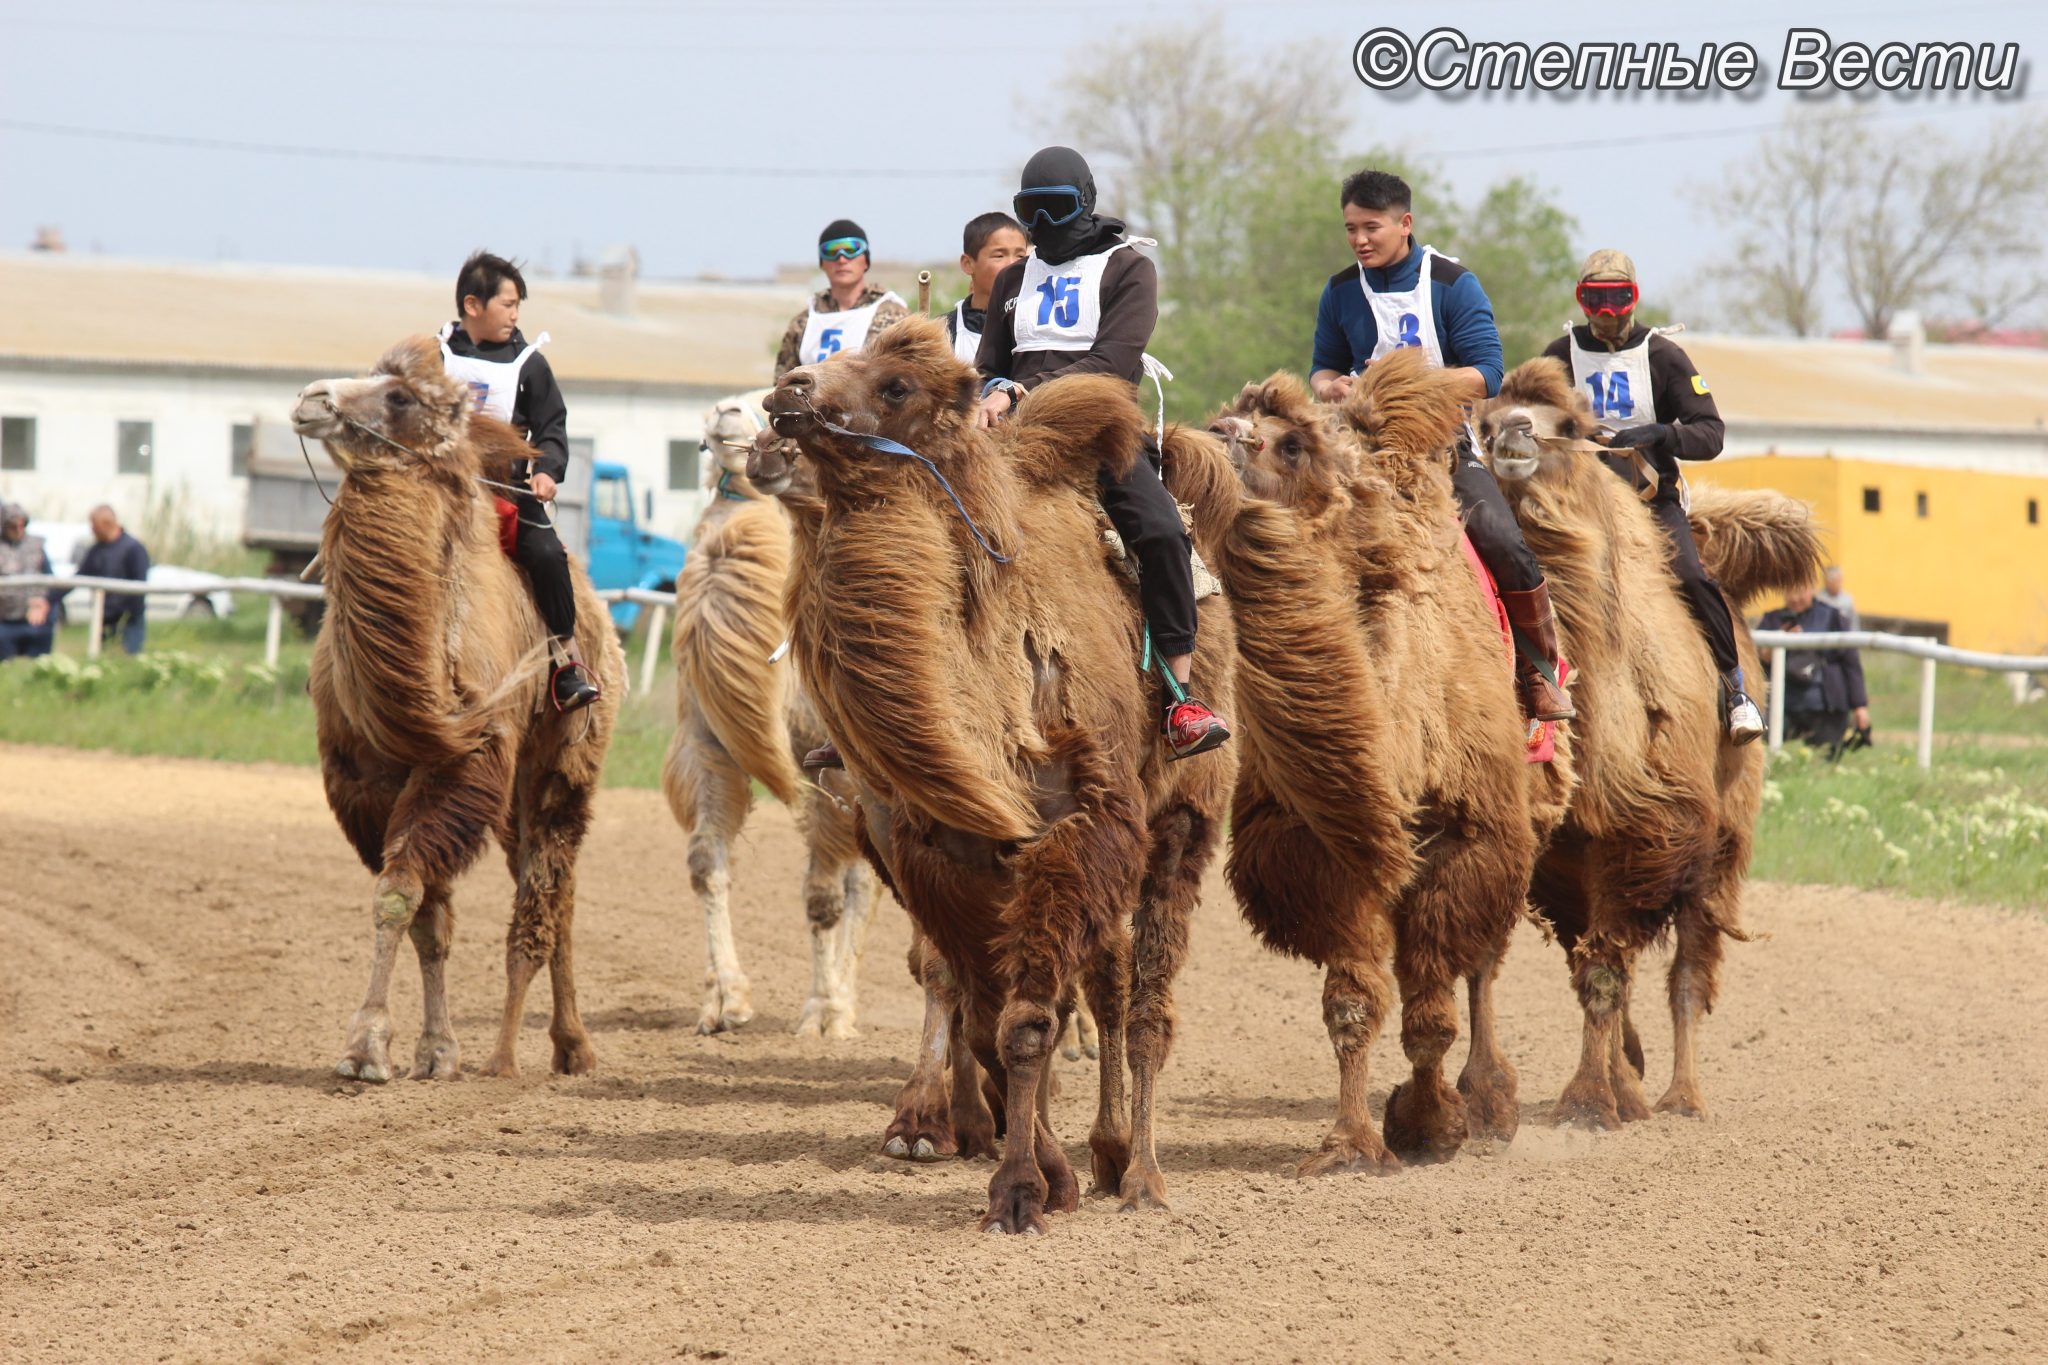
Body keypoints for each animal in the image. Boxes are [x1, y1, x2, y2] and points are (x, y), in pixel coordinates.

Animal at [290, 335, 622, 1080]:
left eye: (399, 396)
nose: (310, 398)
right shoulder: (364, 781)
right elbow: (423, 914)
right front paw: (432, 1049)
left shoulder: (465, 762)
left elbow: (400, 891)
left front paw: (367, 1048)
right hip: (512, 798)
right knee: (544, 883)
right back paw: (561, 1045)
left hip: (563, 757)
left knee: (552, 886)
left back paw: (551, 1050)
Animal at [659, 388, 876, 1039]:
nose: (727, 413)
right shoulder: (707, 750)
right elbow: (706, 864)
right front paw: (724, 1001)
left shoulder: (840, 773)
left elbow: (827, 894)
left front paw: (826, 1012)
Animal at [1163, 349, 1572, 1178]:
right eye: (1227, 415)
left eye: (1291, 443)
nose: (1214, 435)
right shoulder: (1329, 846)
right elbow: (1353, 1001)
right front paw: (1352, 1142)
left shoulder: (1468, 838)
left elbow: (1432, 1005)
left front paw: (1431, 1123)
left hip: (1526, 816)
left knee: (1482, 963)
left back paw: (1491, 1101)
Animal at [1474, 358, 1826, 1129]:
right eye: (1481, 419)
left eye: (1569, 424)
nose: (1511, 432)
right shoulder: (1547, 845)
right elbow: (1548, 963)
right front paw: (1509, 1094)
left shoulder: (1648, 831)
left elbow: (1608, 971)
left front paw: (1587, 1102)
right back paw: (1633, 1081)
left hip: (1722, 840)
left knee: (1687, 966)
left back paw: (1681, 1096)